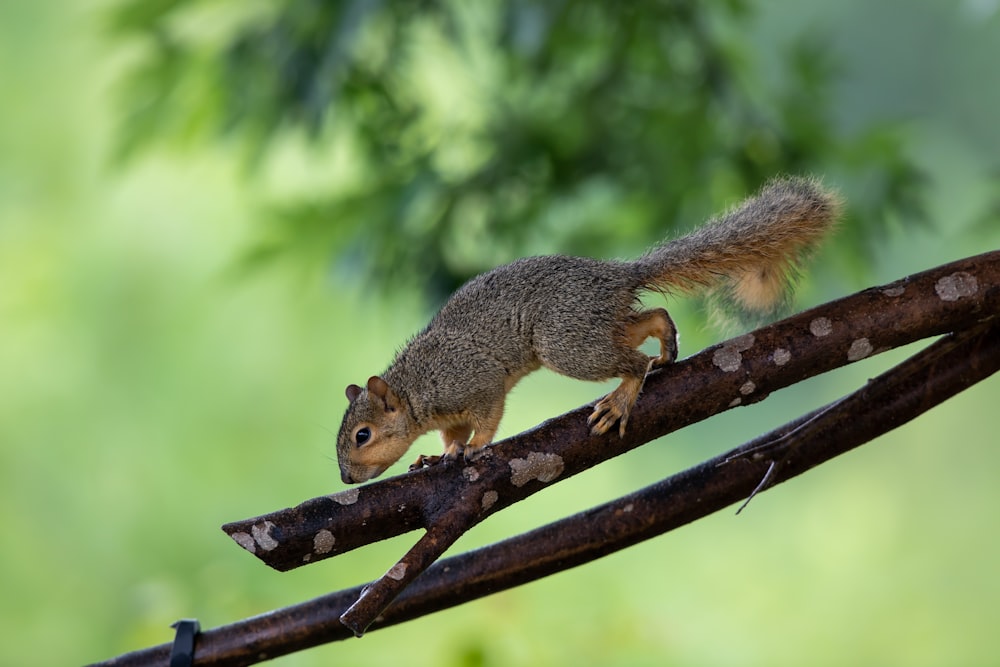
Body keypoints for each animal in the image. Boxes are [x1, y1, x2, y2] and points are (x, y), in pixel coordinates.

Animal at [336, 175, 836, 482]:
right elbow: (450, 437)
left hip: (565, 341)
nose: (344, 477)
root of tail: (616, 277)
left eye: (363, 435)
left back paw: (622, 397)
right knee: (650, 318)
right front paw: (438, 454)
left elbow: (487, 418)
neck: (416, 389)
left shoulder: (475, 382)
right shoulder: (450, 412)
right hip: (591, 328)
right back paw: (666, 346)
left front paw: (474, 448)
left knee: (632, 363)